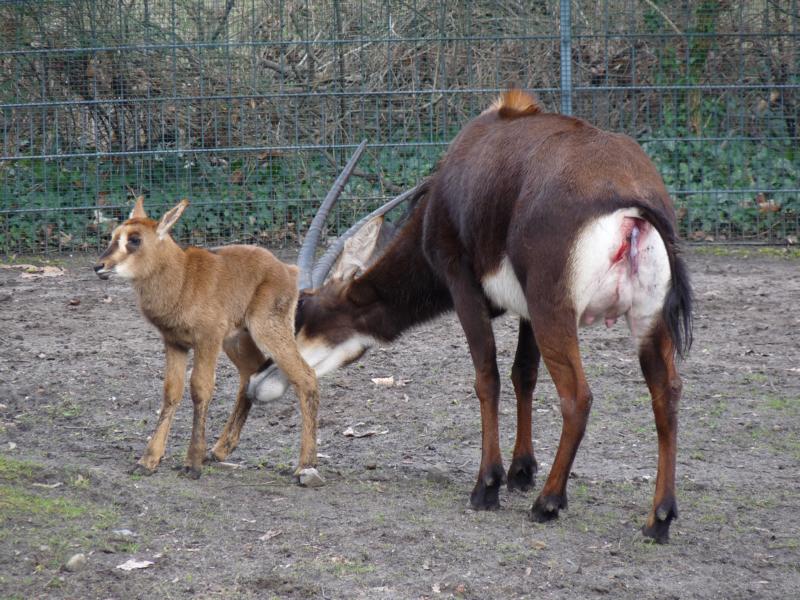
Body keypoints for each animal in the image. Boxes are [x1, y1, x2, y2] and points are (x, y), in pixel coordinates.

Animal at [93, 197, 319, 480]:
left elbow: (200, 389)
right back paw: (220, 450)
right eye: (113, 236)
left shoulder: (207, 339)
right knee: (250, 372)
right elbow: (171, 392)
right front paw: (147, 461)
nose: (99, 266)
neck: (182, 279)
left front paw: (192, 464)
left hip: (267, 329)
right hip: (237, 340)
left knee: (305, 376)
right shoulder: (175, 343)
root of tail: (289, 270)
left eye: (135, 239)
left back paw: (305, 467)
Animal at [255, 89, 692, 543]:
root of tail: (633, 197)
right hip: (646, 319)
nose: (257, 386)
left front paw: (488, 485)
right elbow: (523, 375)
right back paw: (658, 518)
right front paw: (521, 472)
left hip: (555, 309)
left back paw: (549, 502)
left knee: (578, 396)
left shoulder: (463, 283)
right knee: (667, 392)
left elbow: (487, 379)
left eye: (302, 314)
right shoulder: (525, 310)